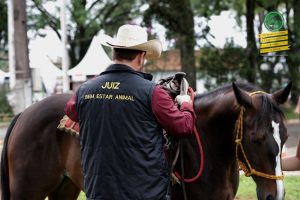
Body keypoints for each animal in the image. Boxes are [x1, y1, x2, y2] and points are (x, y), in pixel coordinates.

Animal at [0, 81, 290, 200]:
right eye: (256, 138)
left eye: (285, 137)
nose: (275, 195)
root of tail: (23, 114)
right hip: (27, 193)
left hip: (64, 190)